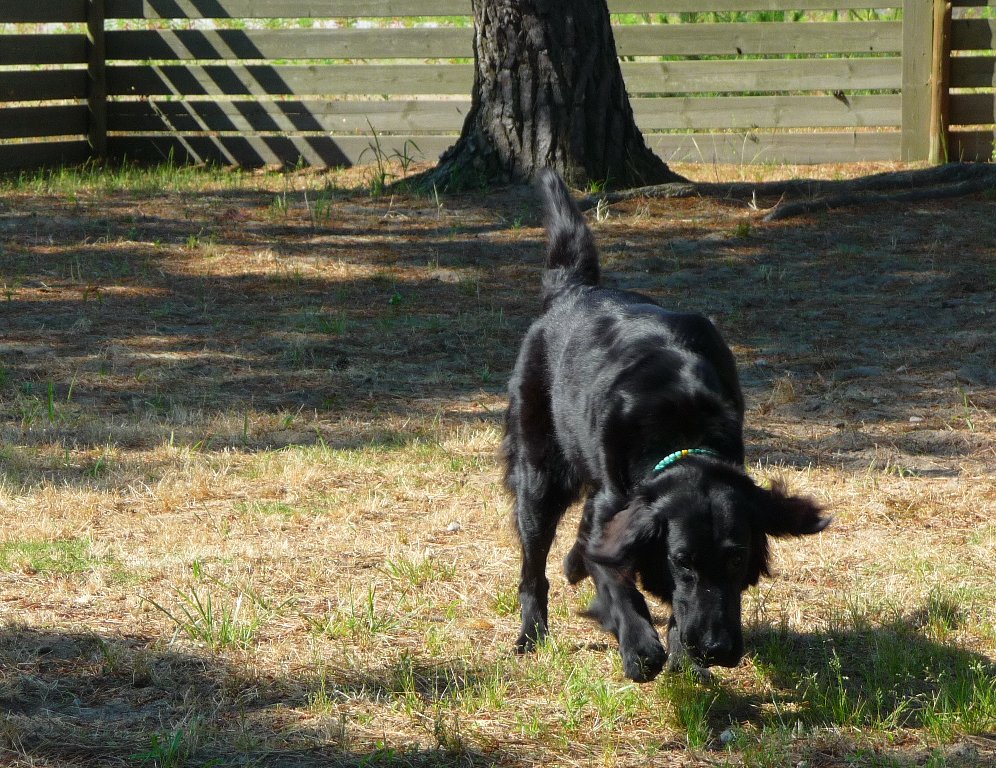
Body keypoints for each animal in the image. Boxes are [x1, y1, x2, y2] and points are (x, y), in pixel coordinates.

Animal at [501, 169, 829, 682]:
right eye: (681, 560)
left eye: (736, 558)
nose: (716, 649)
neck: (684, 427)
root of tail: (574, 290)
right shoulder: (619, 507)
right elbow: (617, 580)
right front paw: (641, 647)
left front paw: (683, 656)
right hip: (538, 473)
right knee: (534, 565)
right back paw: (531, 634)